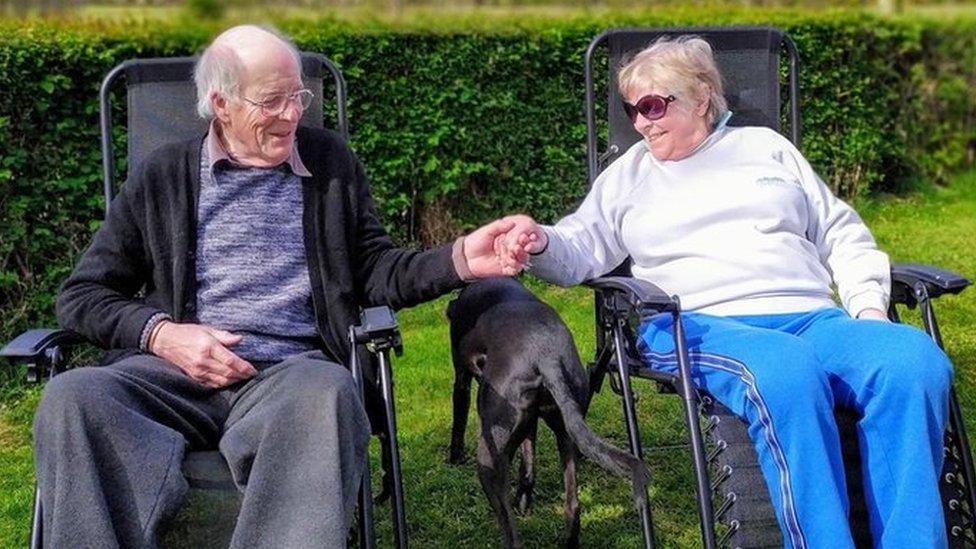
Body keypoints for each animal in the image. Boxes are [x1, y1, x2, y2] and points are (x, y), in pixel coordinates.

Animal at [448, 278, 648, 548]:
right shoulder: (530, 422)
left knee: (512, 534)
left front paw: (454, 457)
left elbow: (458, 420)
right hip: (567, 432)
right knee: (573, 506)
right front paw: (524, 498)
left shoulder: (461, 379)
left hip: (489, 458)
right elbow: (528, 459)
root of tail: (547, 357)